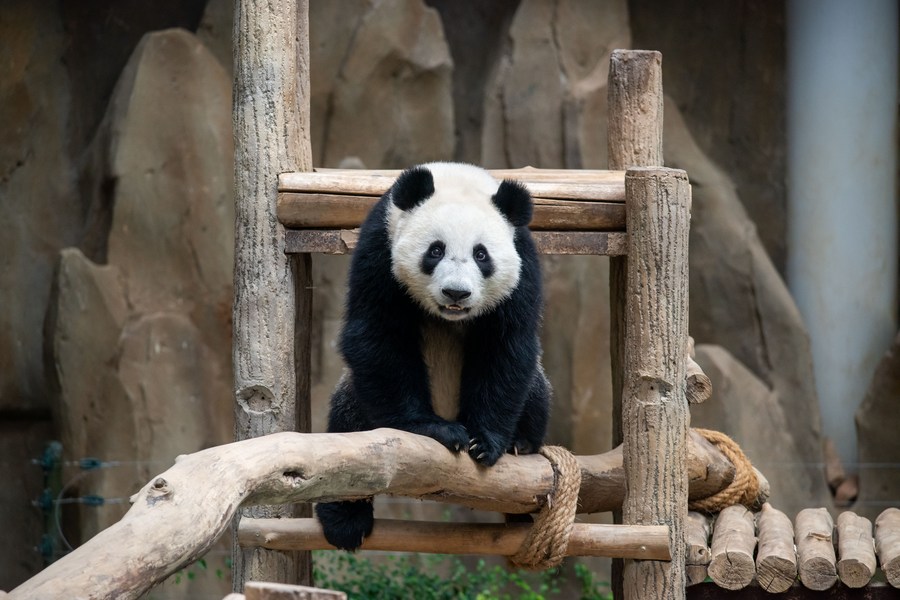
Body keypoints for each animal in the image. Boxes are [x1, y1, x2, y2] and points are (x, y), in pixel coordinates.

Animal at [320, 162, 552, 552]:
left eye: (481, 254)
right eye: (435, 251)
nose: (456, 293)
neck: (457, 178)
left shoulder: (523, 265)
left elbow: (505, 346)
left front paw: (484, 442)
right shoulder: (380, 248)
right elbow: (378, 334)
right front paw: (435, 430)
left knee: (535, 390)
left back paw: (521, 443)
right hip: (357, 401)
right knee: (347, 433)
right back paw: (345, 521)